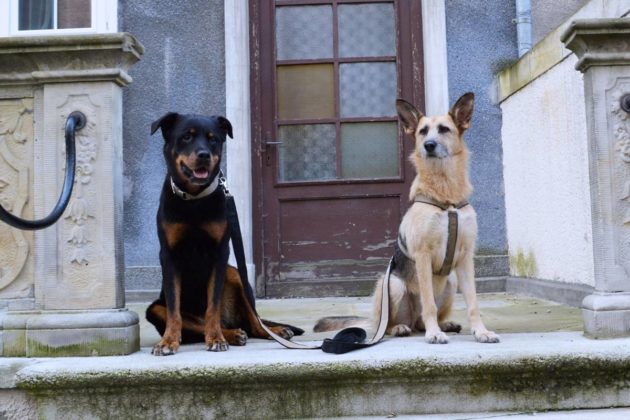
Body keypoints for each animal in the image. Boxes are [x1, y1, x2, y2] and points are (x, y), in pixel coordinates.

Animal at [149, 111, 306, 354]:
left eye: (213, 139)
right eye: (186, 137)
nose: (204, 154)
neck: (194, 200)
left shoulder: (220, 253)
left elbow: (212, 305)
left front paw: (215, 338)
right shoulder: (169, 255)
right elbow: (174, 308)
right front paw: (168, 341)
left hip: (236, 274)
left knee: (254, 322)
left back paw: (271, 332)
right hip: (155, 309)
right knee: (194, 324)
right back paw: (233, 334)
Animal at [318, 92, 502, 344]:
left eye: (444, 129)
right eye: (423, 131)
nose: (429, 145)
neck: (446, 197)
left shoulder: (465, 258)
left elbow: (473, 303)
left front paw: (480, 331)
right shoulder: (423, 255)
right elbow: (428, 303)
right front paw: (434, 334)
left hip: (452, 281)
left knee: (421, 321)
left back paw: (445, 324)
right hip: (393, 285)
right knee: (392, 324)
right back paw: (401, 328)